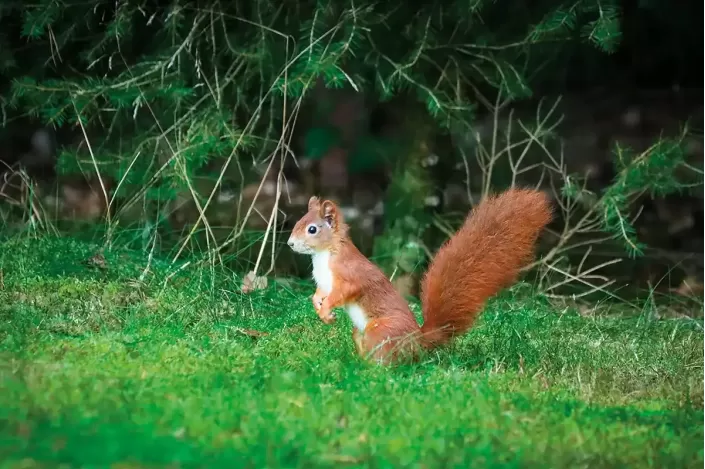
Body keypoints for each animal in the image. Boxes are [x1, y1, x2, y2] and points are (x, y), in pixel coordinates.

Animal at [284, 186, 552, 362]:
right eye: (298, 222)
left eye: (312, 229)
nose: (289, 244)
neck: (323, 256)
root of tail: (417, 343)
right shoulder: (324, 283)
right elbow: (319, 293)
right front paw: (318, 306)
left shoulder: (350, 276)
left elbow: (343, 293)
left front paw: (326, 311)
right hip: (360, 333)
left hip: (380, 331)